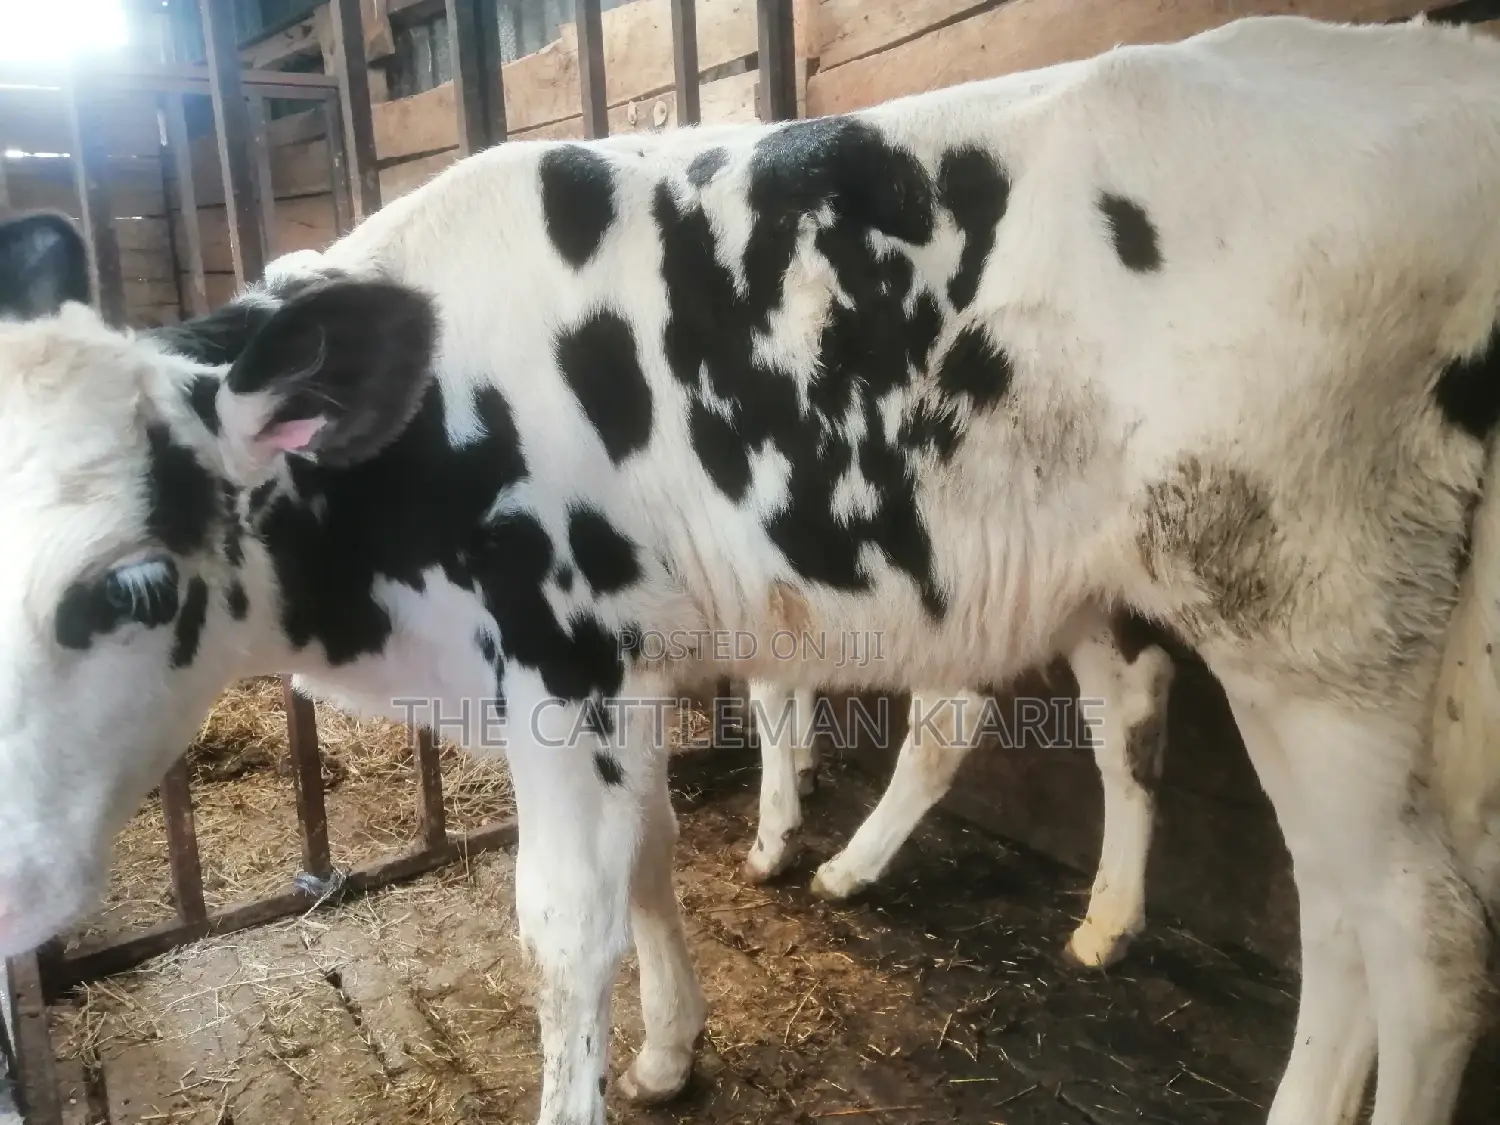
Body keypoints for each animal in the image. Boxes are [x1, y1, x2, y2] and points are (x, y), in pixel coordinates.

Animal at [0, 13, 1498, 1125]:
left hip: (1315, 624)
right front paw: (672, 1050)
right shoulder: (630, 674)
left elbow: (564, 928)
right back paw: (1106, 925)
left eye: (131, 585)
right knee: (1273, 846)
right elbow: (656, 860)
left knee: (1417, 940)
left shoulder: (564, 665)